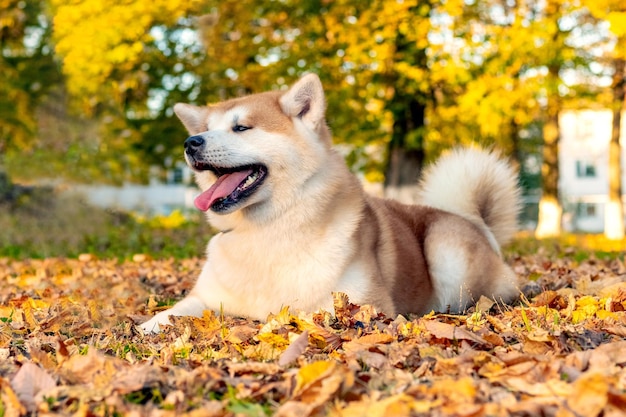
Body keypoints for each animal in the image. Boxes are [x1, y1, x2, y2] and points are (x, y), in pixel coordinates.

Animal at [140, 72, 516, 332]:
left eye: (241, 128)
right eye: (203, 129)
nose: (191, 142)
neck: (269, 229)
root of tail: (478, 225)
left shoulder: (365, 304)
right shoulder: (205, 298)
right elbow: (171, 313)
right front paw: (146, 328)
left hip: (446, 250)